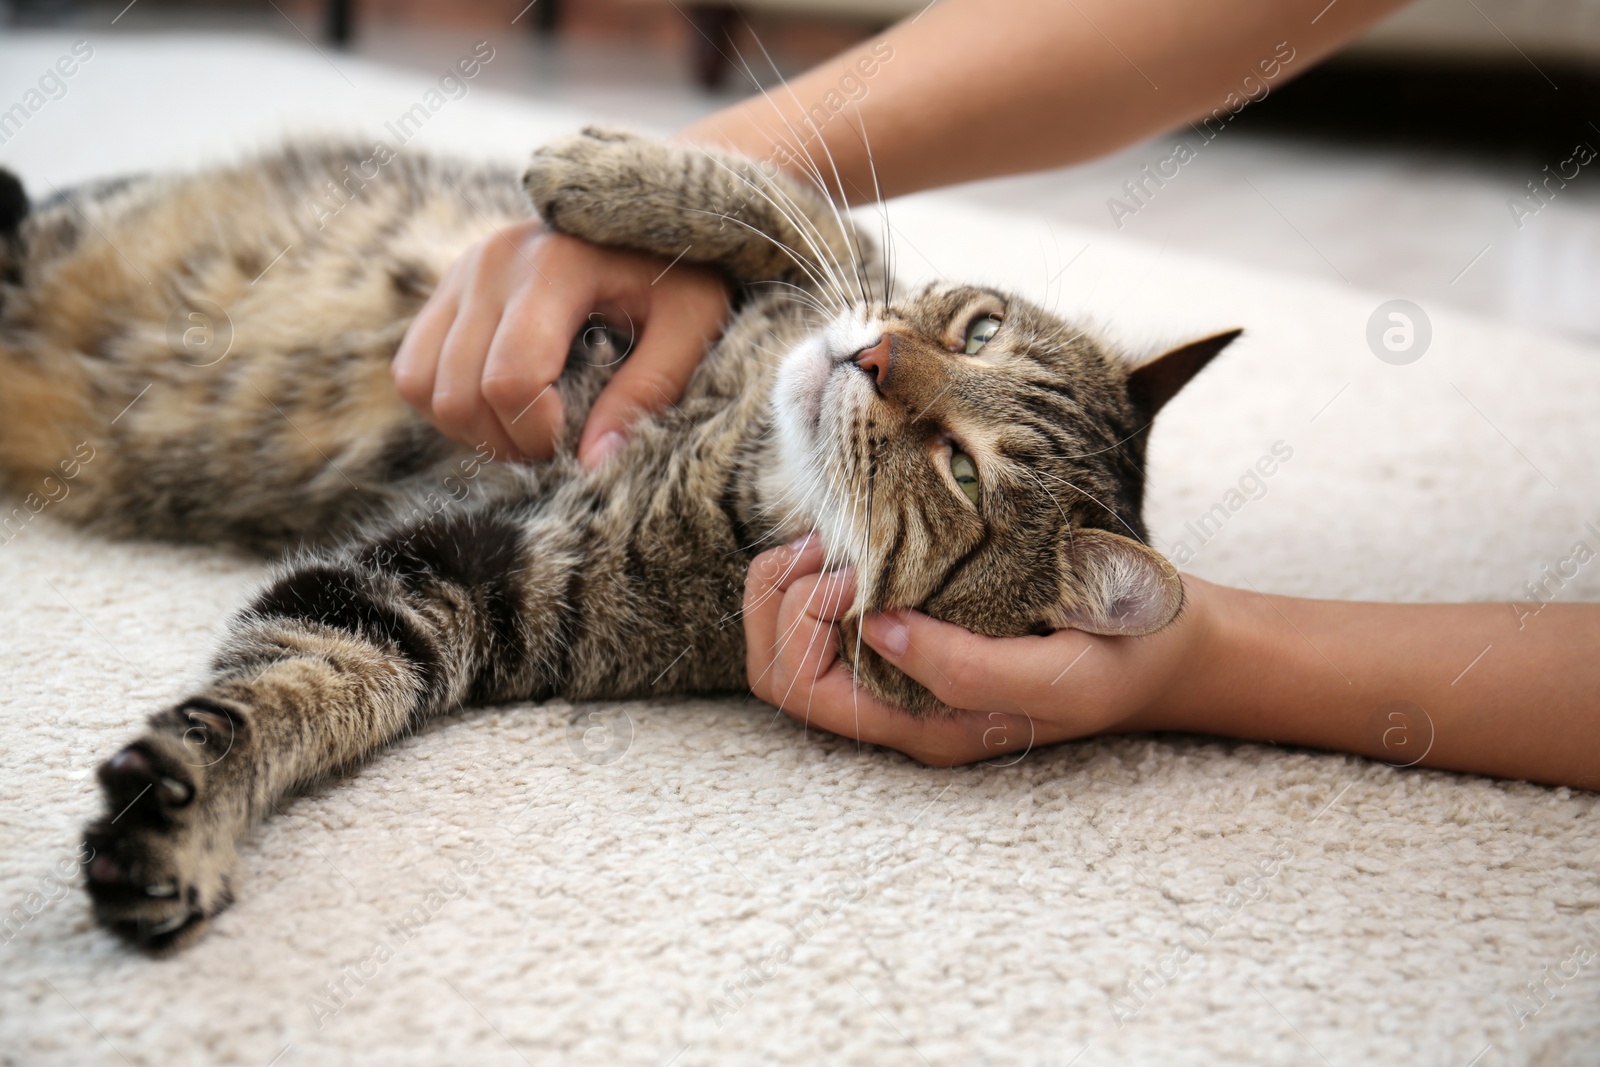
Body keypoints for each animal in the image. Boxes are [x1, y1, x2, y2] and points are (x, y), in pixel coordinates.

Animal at [0, 125, 1235, 953]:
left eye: (963, 472)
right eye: (977, 328)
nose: (873, 360)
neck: (746, 451)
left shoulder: (470, 583)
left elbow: (301, 679)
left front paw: (178, 821)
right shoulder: (814, 277)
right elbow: (787, 205)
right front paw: (605, 163)